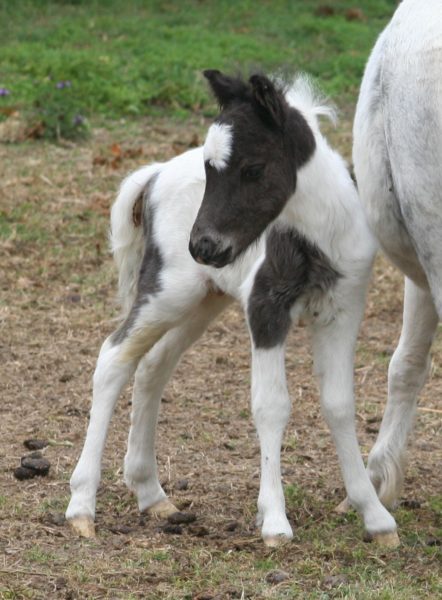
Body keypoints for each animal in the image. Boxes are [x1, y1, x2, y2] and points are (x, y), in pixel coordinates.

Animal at [64, 72, 398, 548]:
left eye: (253, 168)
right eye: (208, 170)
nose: (203, 245)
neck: (315, 237)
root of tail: (156, 173)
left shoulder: (343, 311)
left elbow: (338, 404)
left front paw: (375, 515)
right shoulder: (265, 309)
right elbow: (271, 405)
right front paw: (274, 521)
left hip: (204, 300)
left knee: (152, 366)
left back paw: (151, 493)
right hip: (168, 293)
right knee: (114, 358)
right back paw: (81, 506)